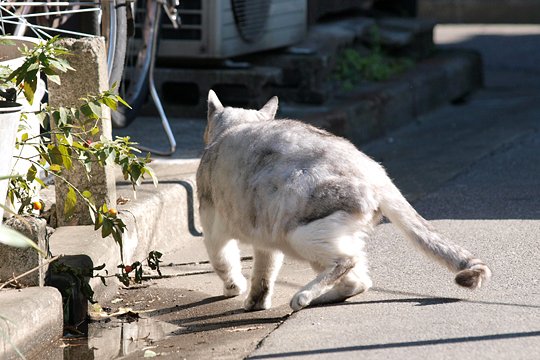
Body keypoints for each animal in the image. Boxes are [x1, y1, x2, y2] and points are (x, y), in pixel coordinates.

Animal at [196, 90, 492, 312]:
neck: (238, 127)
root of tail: (375, 171)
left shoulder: (213, 230)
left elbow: (224, 263)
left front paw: (234, 289)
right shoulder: (265, 242)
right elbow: (263, 275)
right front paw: (256, 302)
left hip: (297, 234)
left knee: (346, 262)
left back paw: (303, 297)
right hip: (311, 236)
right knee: (359, 281)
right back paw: (317, 299)